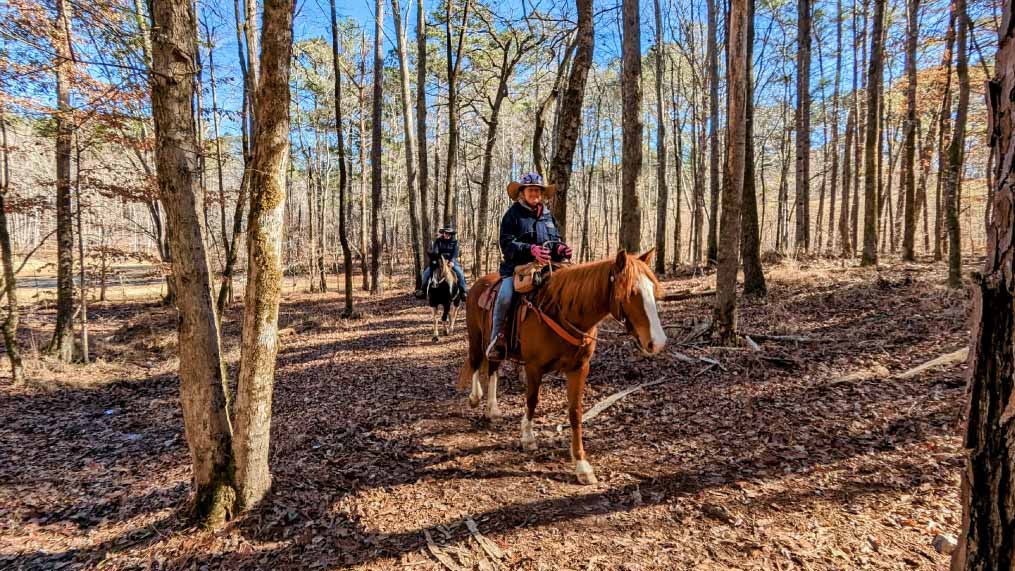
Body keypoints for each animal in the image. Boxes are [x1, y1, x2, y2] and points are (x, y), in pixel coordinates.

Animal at [458, 249, 665, 482]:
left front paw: (582, 465)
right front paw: (528, 437)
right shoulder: (534, 367)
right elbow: (532, 401)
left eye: (653, 289)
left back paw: (492, 410)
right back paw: (475, 398)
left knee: (493, 369)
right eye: (630, 293)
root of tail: (480, 283)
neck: (563, 312)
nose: (658, 342)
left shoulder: (579, 369)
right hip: (476, 337)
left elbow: (575, 412)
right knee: (476, 361)